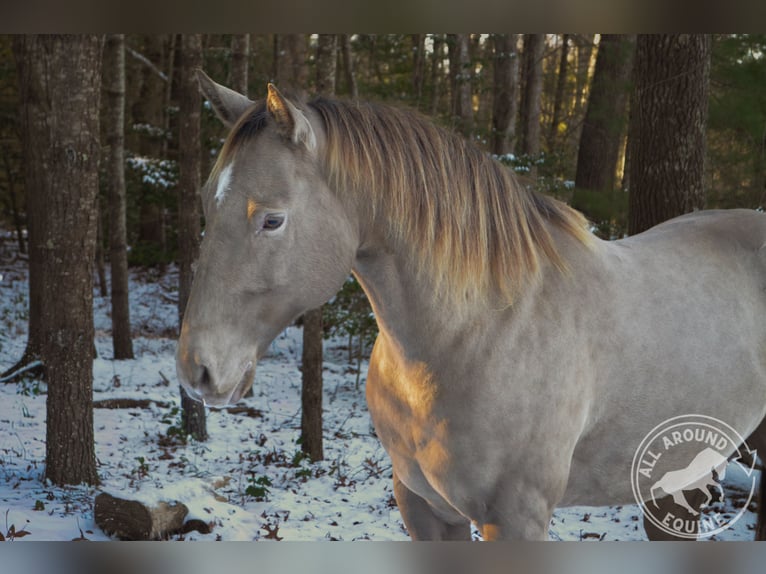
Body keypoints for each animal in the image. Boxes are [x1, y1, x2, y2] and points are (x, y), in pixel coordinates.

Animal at [176, 71, 766, 540]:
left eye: (272, 219)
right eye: (204, 204)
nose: (196, 370)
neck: (477, 333)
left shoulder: (516, 520)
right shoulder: (422, 508)